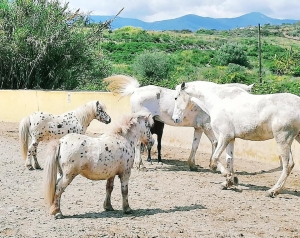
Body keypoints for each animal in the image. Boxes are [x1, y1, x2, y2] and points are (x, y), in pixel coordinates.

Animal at [103, 75, 253, 170]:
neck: (209, 101)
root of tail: (136, 90)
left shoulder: (199, 128)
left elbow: (195, 145)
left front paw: (193, 165)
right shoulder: (207, 126)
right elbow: (215, 143)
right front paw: (213, 165)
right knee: (139, 144)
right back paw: (140, 165)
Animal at [171, 80, 300, 197]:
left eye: (176, 98)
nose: (175, 119)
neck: (217, 100)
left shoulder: (225, 136)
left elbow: (215, 157)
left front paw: (222, 173)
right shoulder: (231, 139)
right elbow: (229, 160)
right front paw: (229, 182)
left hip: (282, 139)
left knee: (287, 165)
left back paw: (272, 191)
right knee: (291, 164)